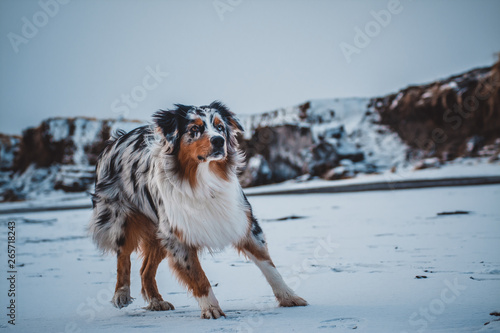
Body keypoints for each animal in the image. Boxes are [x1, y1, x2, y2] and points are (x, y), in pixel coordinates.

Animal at [89, 100, 306, 316]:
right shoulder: (178, 236)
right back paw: (121, 293)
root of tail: (116, 139)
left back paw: (156, 301)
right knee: (123, 256)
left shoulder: (243, 223)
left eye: (220, 127)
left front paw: (289, 297)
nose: (219, 140)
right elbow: (198, 276)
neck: (203, 180)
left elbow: (269, 266)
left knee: (145, 270)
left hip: (158, 232)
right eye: (194, 129)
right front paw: (211, 308)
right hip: (121, 219)